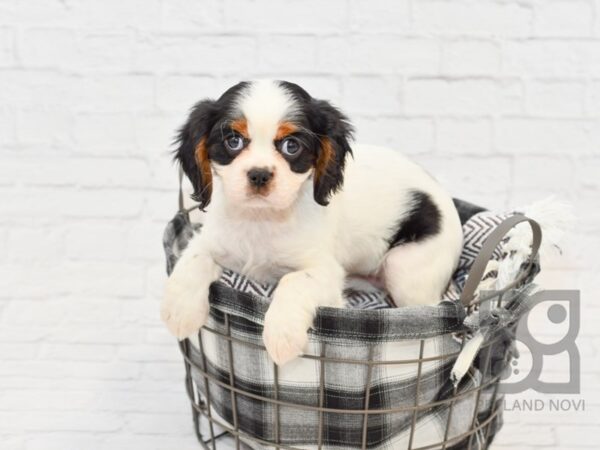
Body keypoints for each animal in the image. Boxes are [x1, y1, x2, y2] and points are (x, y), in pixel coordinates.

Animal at [161, 79, 464, 364]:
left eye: (291, 146)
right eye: (233, 141)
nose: (259, 174)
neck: (262, 218)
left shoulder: (324, 269)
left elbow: (293, 280)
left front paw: (282, 334)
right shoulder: (212, 239)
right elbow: (193, 258)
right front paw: (180, 311)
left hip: (404, 268)